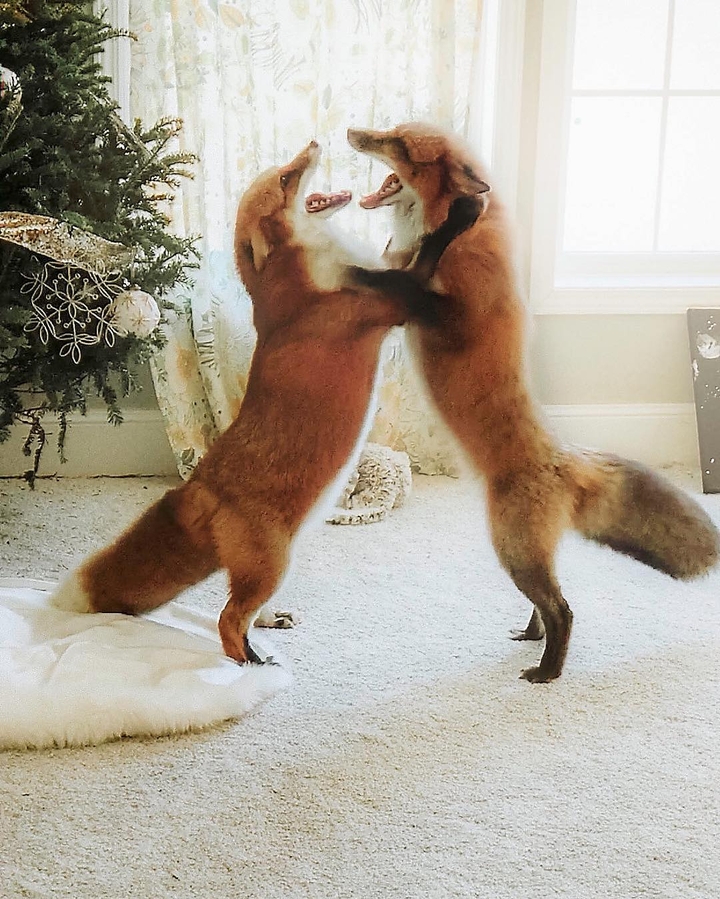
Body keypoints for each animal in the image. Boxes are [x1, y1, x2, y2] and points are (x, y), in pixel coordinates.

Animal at [50, 140, 481, 665]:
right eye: (285, 180)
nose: (313, 143)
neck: (308, 276)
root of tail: (201, 486)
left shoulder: (385, 279)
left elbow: (401, 252)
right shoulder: (387, 304)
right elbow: (428, 250)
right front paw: (463, 213)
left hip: (266, 569)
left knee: (242, 610)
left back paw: (269, 624)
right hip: (273, 564)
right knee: (227, 619)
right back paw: (249, 662)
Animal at [347, 121, 720, 683]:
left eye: (402, 147)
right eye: (392, 132)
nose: (353, 131)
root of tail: (561, 458)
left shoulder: (439, 313)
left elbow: (405, 273)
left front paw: (447, 225)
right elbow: (399, 265)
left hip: (512, 549)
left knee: (563, 610)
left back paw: (547, 671)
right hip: (524, 554)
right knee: (547, 605)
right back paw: (532, 637)